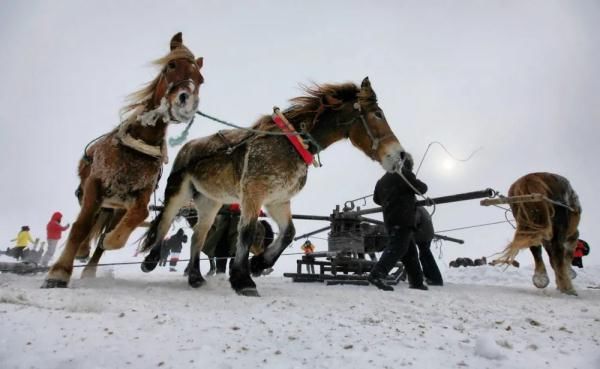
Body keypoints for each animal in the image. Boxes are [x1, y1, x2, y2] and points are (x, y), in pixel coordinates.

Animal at [41, 33, 204, 286]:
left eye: (200, 79)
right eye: (171, 65)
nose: (185, 102)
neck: (136, 149)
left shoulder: (138, 197)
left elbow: (136, 218)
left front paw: (110, 240)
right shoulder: (95, 185)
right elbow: (80, 226)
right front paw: (59, 272)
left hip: (115, 207)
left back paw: (91, 267)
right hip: (97, 197)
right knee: (88, 222)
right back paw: (82, 250)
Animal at [139, 77, 408, 296]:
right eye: (377, 114)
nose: (400, 155)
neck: (291, 145)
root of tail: (188, 147)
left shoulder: (278, 201)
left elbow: (288, 232)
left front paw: (258, 264)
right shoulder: (252, 195)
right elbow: (246, 232)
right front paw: (243, 279)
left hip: (210, 202)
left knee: (198, 235)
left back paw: (195, 276)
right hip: (179, 191)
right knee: (164, 222)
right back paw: (151, 259)